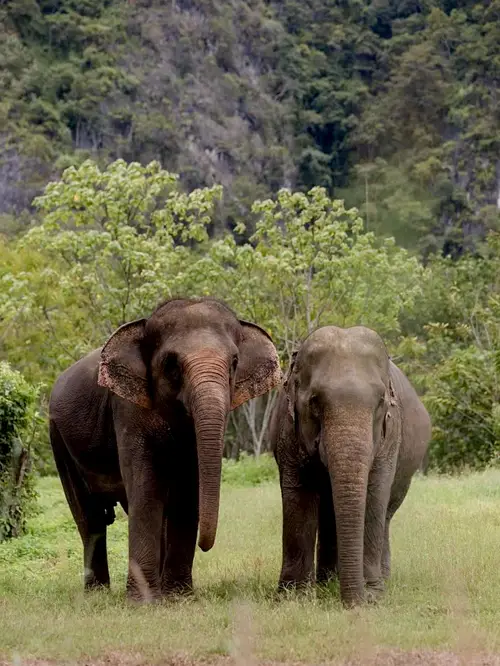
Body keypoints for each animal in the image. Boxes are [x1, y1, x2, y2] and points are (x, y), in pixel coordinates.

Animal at [49, 297, 281, 600]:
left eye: (234, 362)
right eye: (171, 365)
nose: (206, 546)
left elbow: (188, 489)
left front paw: (178, 597)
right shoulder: (127, 408)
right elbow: (147, 486)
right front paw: (144, 602)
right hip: (58, 437)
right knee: (90, 517)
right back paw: (97, 595)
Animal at [270, 325, 431, 607]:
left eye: (380, 403)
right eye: (314, 401)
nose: (356, 604)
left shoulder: (391, 435)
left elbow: (375, 494)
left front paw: (374, 594)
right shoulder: (287, 430)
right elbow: (298, 494)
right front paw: (294, 597)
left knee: (386, 513)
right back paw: (327, 581)